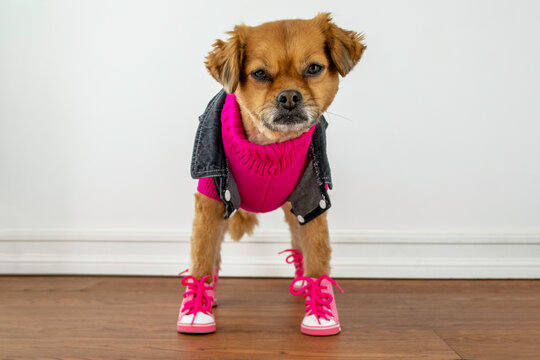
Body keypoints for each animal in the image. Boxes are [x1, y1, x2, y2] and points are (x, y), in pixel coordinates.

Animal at [179, 12, 364, 336]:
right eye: (260, 74)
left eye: (313, 68)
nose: (289, 96)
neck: (269, 150)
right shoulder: (211, 198)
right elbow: (202, 254)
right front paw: (197, 307)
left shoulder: (313, 200)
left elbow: (317, 254)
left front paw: (320, 311)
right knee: (213, 250)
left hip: (295, 209)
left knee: (299, 243)